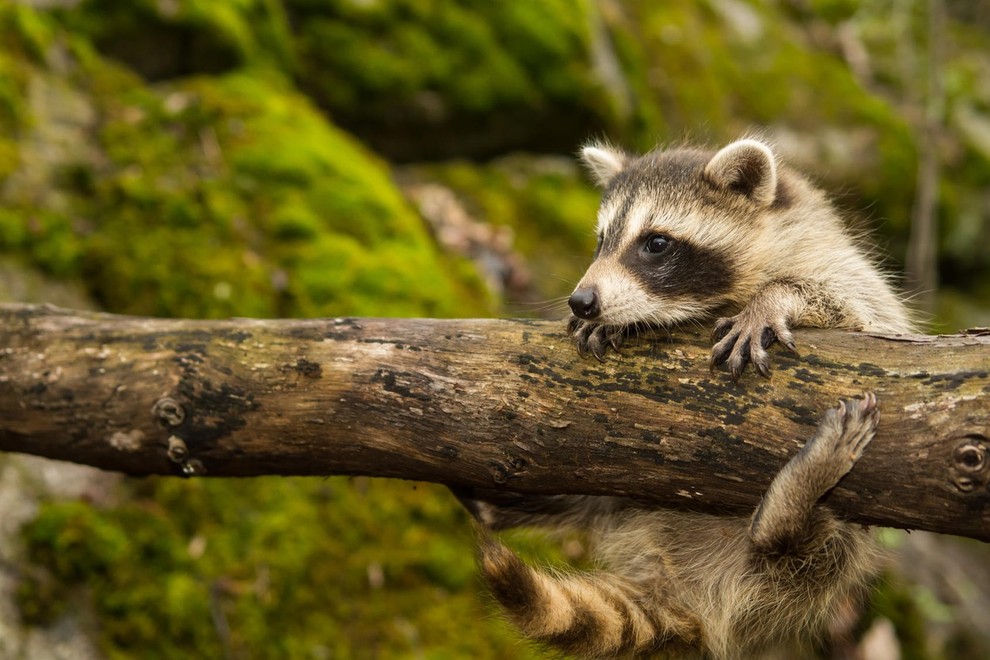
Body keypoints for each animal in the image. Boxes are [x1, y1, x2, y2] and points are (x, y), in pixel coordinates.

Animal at [470, 138, 916, 656]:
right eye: (601, 241)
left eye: (656, 243)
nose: (582, 302)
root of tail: (685, 594)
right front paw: (621, 320)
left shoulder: (846, 272)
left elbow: (860, 311)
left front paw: (774, 298)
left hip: (818, 563)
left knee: (798, 556)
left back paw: (790, 508)